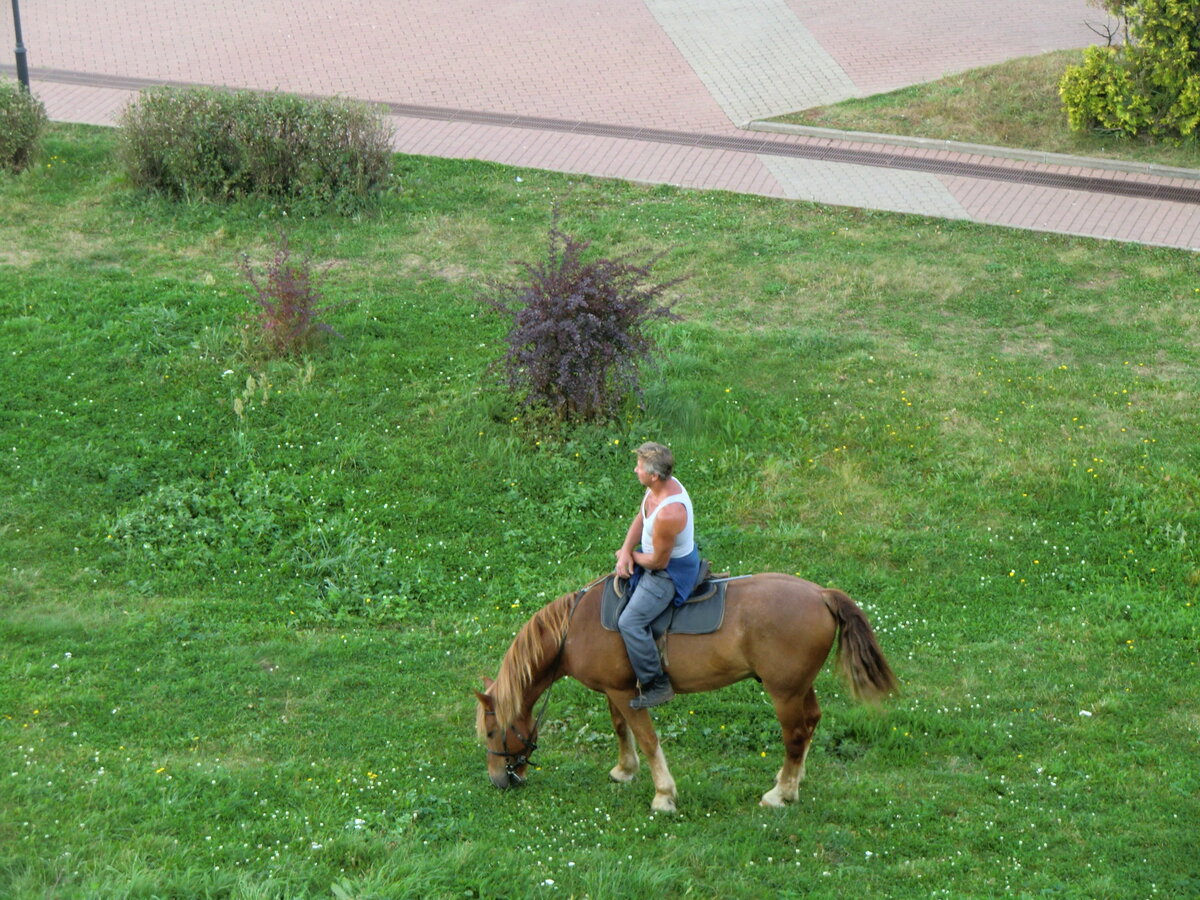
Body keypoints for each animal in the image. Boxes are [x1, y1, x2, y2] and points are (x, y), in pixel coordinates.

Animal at [472, 573, 897, 816]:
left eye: (492, 733)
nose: (498, 780)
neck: (575, 628)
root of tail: (821, 594)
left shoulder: (625, 693)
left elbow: (647, 738)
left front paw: (663, 795)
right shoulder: (614, 690)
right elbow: (620, 729)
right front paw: (624, 770)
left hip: (784, 692)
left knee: (795, 734)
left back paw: (781, 793)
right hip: (798, 687)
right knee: (811, 723)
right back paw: (792, 779)